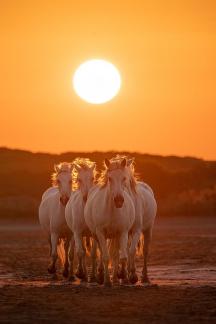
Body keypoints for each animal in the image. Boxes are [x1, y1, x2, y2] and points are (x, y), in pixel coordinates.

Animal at [84, 157, 135, 286]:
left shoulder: (123, 232)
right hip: (97, 235)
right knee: (102, 253)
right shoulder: (101, 233)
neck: (112, 210)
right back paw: (100, 276)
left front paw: (123, 276)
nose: (119, 200)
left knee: (116, 255)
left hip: (115, 236)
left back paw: (116, 279)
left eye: (124, 178)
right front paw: (107, 281)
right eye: (110, 178)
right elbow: (106, 257)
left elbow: (122, 257)